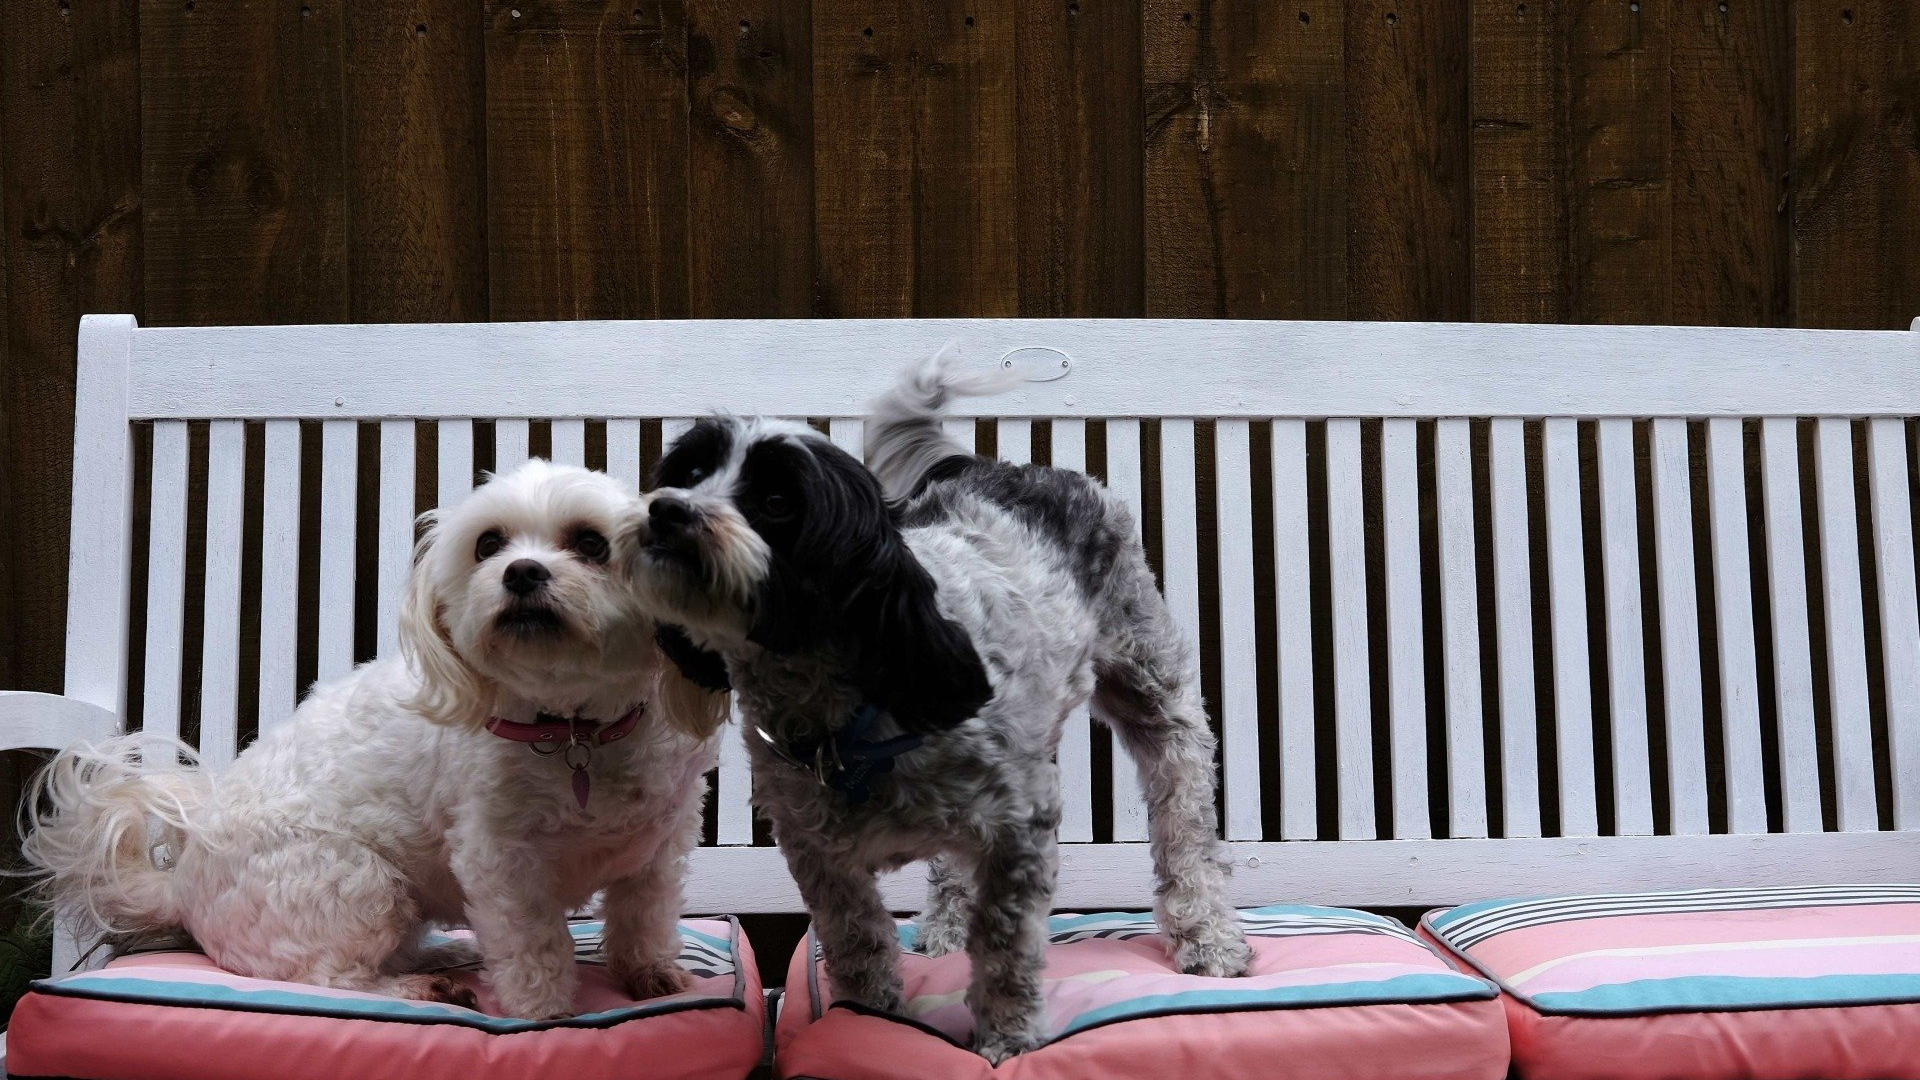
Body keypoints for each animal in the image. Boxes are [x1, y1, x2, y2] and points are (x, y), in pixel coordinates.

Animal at [22, 457, 725, 1014]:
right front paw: (547, 1014)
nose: (521, 572)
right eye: (488, 543)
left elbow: (645, 915)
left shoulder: (663, 840)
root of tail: (183, 880)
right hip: (357, 881)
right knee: (332, 975)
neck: (576, 729)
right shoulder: (501, 861)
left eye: (592, 543)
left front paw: (652, 973)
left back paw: (435, 959)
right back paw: (417, 988)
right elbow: (533, 945)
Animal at [637, 357, 1251, 1053]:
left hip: (1151, 688)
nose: (665, 510)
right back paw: (946, 927)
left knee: (1185, 818)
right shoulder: (816, 849)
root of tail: (1002, 466)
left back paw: (1207, 937)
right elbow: (856, 939)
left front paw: (1007, 1040)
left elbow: (1006, 942)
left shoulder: (1021, 825)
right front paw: (863, 1016)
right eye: (688, 474)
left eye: (775, 502)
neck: (859, 709)